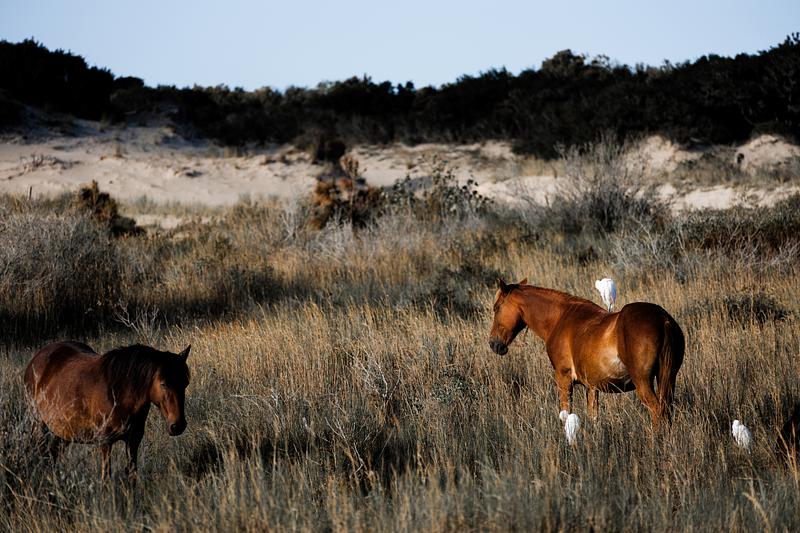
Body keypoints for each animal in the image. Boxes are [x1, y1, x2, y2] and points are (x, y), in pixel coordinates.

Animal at [24, 341, 191, 478]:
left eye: (185, 383)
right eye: (163, 384)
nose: (178, 425)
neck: (118, 393)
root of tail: (36, 358)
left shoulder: (133, 441)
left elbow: (132, 476)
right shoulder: (105, 442)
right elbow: (106, 478)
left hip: (63, 431)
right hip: (37, 424)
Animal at [488, 279, 685, 427]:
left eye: (496, 307)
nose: (494, 344)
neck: (560, 318)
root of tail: (664, 319)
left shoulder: (564, 379)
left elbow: (565, 415)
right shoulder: (592, 387)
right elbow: (593, 417)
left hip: (643, 383)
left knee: (657, 411)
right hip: (668, 379)